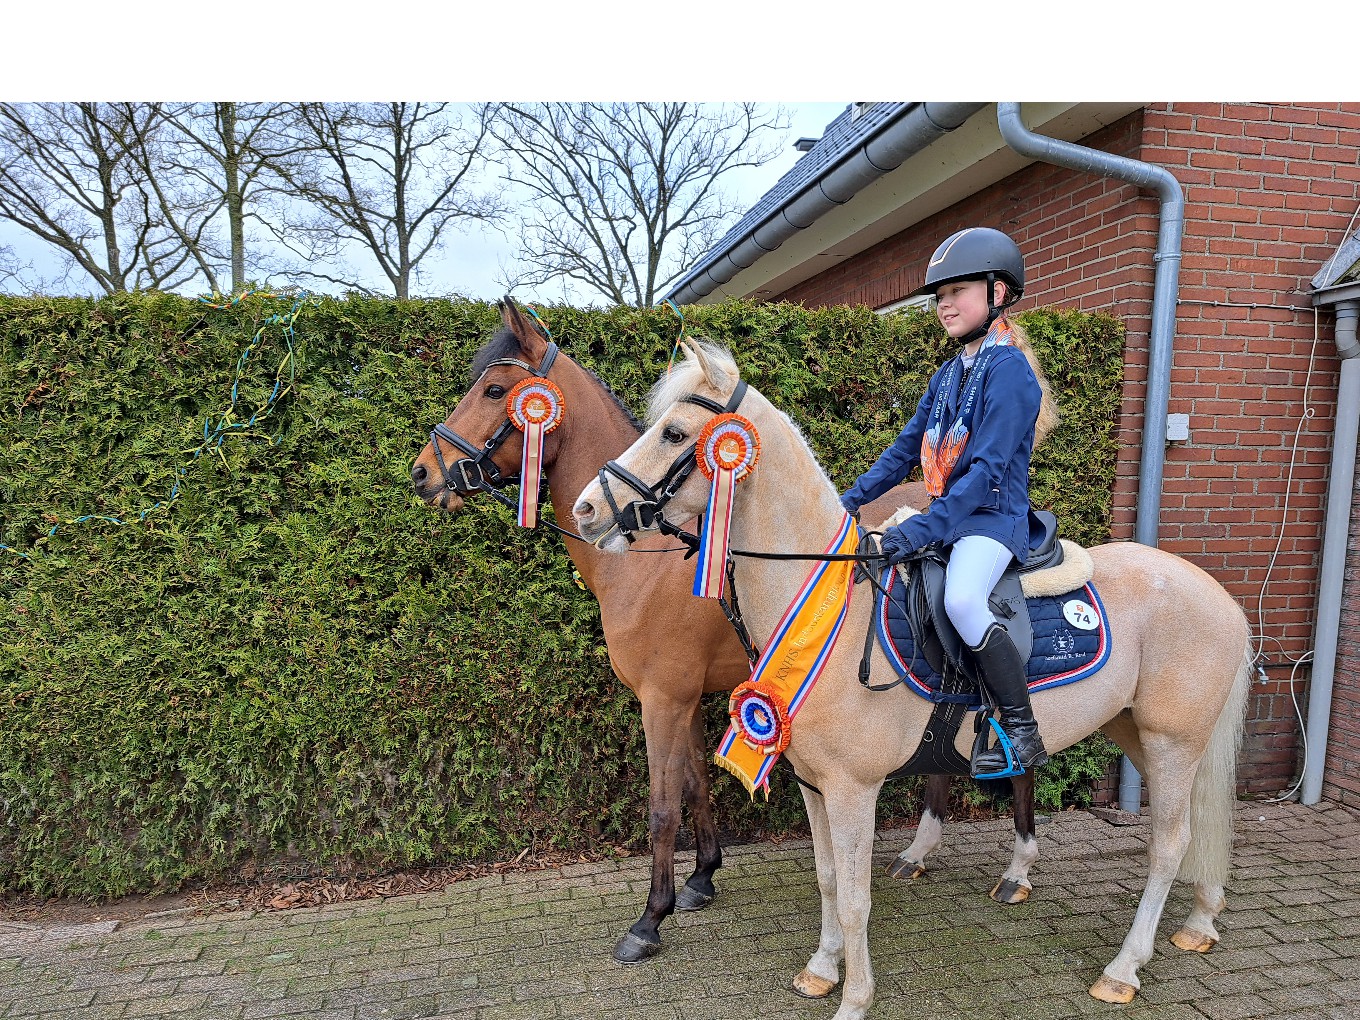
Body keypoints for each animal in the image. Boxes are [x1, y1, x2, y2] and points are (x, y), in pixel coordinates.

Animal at [408, 301, 1044, 968]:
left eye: (494, 390)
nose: (423, 474)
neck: (652, 563)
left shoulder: (662, 699)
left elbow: (664, 807)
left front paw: (650, 919)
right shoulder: (685, 699)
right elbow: (696, 785)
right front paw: (701, 878)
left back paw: (1017, 870)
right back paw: (921, 855)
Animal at [571, 337, 1251, 1020]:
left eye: (674, 432)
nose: (587, 509)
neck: (830, 612)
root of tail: (1219, 596)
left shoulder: (851, 788)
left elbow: (854, 896)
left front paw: (854, 998)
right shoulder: (813, 783)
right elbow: (827, 880)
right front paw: (822, 969)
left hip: (1172, 741)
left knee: (1169, 844)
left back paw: (1124, 968)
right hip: (1135, 730)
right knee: (1195, 826)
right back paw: (1201, 920)